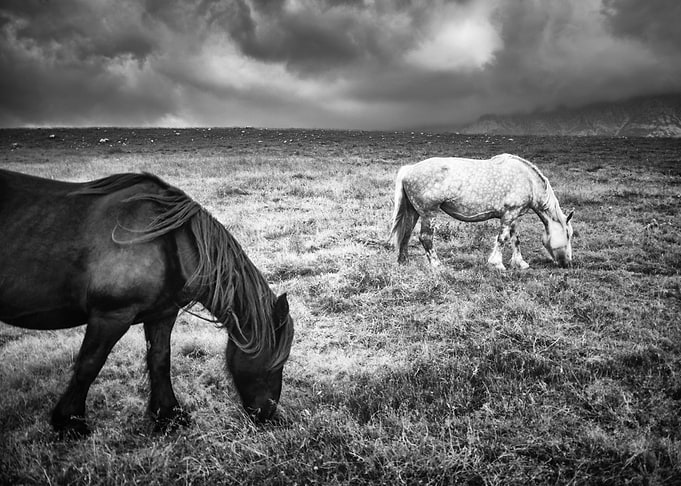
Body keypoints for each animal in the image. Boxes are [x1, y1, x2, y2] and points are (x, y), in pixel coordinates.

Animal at [0, 169, 294, 438]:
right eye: (276, 362)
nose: (267, 413)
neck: (166, 240)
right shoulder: (111, 316)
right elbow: (89, 365)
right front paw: (70, 422)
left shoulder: (162, 314)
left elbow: (160, 360)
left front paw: (168, 416)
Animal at [390, 154, 574, 270]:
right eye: (568, 234)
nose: (567, 263)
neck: (528, 181)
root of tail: (409, 170)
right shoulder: (509, 215)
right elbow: (502, 239)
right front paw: (497, 264)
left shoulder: (515, 217)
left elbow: (515, 239)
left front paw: (520, 263)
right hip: (429, 213)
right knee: (426, 238)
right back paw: (437, 265)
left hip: (413, 212)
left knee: (406, 234)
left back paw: (403, 262)